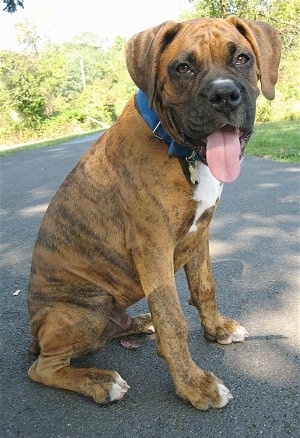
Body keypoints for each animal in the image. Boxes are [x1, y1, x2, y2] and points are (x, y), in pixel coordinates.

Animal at [27, 14, 282, 410]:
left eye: (242, 58)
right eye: (183, 67)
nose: (224, 95)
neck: (176, 147)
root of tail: (33, 331)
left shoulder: (200, 233)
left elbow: (205, 286)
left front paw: (217, 329)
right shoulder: (153, 249)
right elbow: (173, 319)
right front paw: (194, 385)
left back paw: (139, 322)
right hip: (81, 311)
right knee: (43, 368)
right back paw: (100, 382)